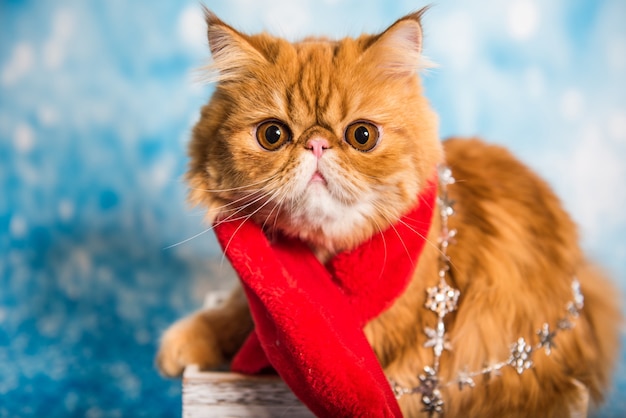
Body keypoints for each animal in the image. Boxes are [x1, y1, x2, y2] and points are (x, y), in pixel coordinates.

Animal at [157, 7, 620, 418]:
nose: (317, 144)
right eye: (272, 135)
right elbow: (233, 314)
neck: (323, 263)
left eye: (362, 135)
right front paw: (186, 341)